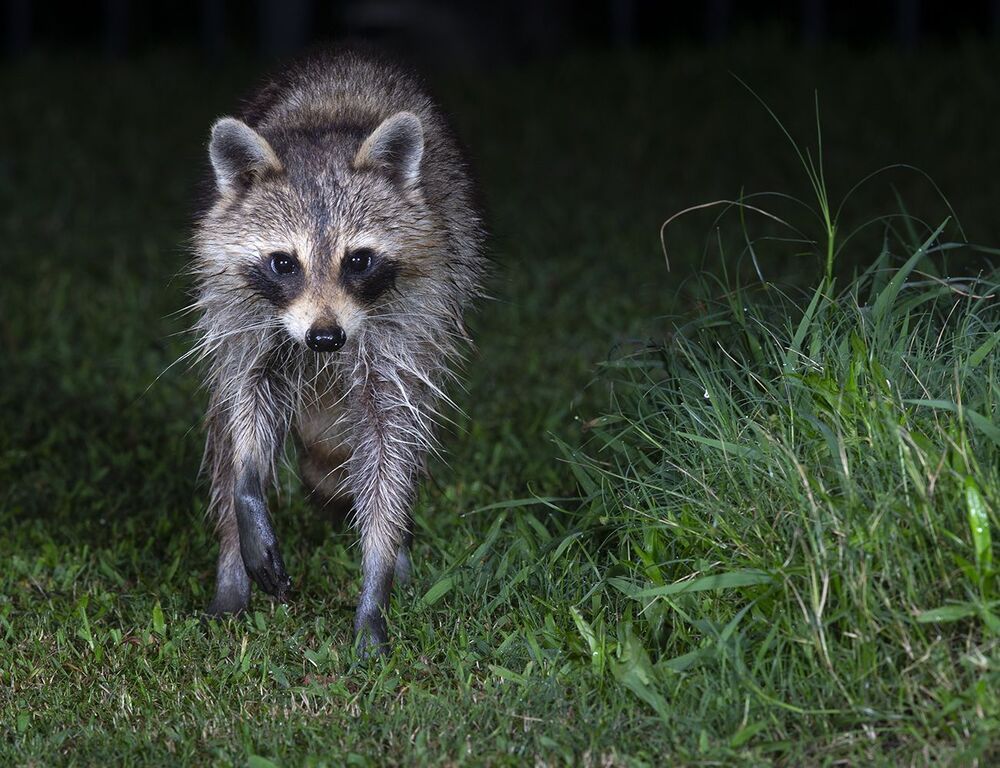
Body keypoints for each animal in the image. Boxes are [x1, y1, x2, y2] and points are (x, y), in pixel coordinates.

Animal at [191, 50, 486, 654]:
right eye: (284, 262)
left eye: (358, 260)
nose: (325, 339)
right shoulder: (242, 310)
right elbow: (247, 399)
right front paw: (249, 484)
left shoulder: (411, 319)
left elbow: (389, 440)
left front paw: (376, 575)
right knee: (222, 434)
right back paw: (232, 568)